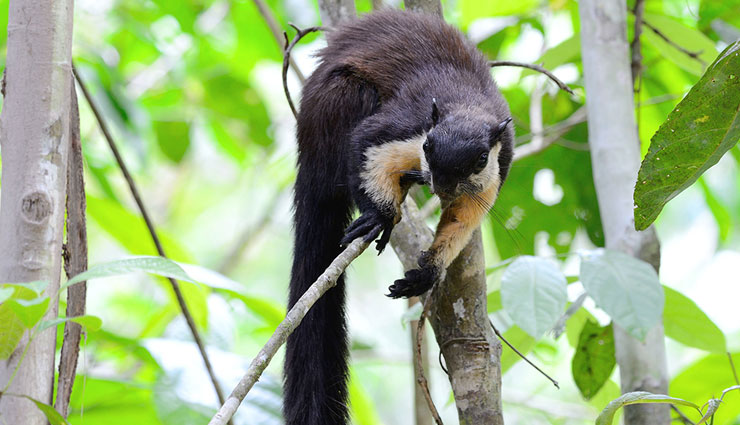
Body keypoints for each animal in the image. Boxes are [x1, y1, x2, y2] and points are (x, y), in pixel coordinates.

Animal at [284, 10, 514, 425]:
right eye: (428, 146)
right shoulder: (403, 126)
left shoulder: (496, 173)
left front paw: (427, 273)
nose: (440, 184)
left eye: (479, 161)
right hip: (341, 99)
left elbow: (462, 220)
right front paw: (380, 214)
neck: (464, 103)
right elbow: (363, 145)